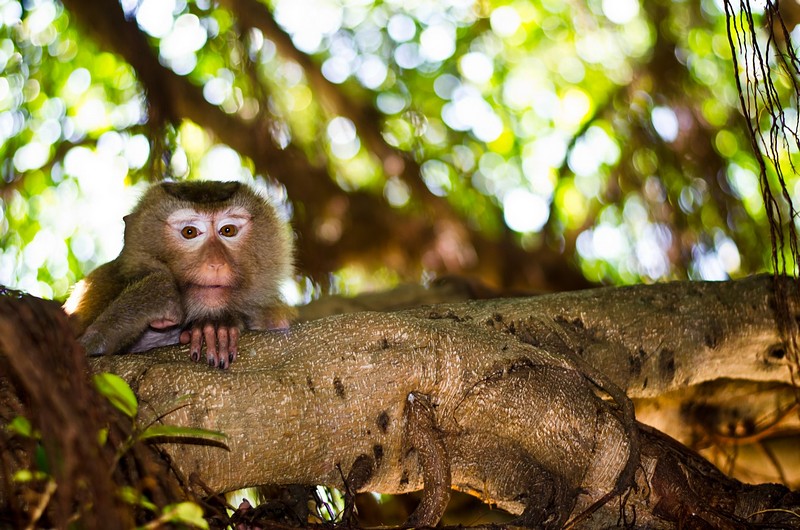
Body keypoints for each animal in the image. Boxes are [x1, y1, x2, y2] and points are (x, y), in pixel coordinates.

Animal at [63, 179, 294, 370]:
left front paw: (217, 327)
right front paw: (153, 295)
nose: (216, 263)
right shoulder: (98, 286)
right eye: (189, 232)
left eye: (228, 230)